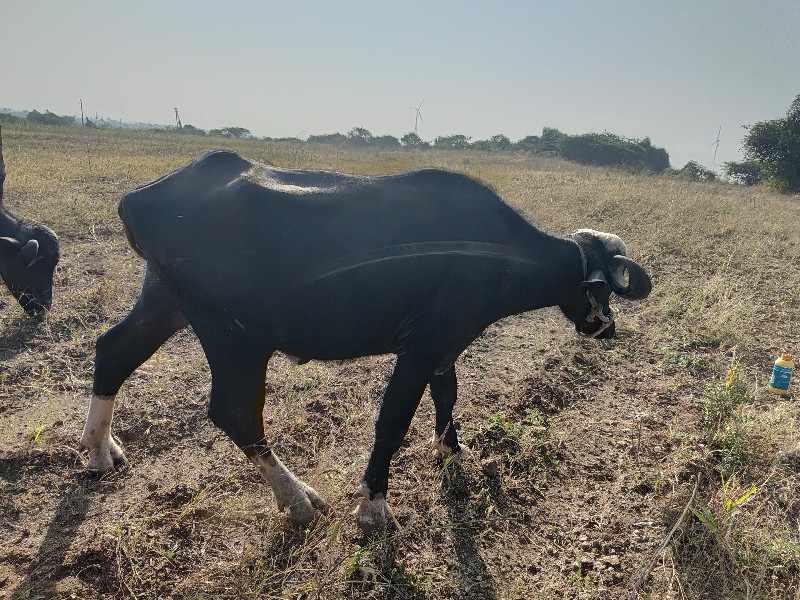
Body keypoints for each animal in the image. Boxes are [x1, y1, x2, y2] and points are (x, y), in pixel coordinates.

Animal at [81, 151, 648, 536]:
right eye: (601, 287)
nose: (606, 327)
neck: (499, 252)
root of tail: (141, 198)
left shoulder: (445, 346)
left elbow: (448, 397)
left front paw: (452, 452)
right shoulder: (420, 348)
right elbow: (392, 423)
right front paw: (373, 507)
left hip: (165, 301)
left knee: (113, 350)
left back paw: (99, 449)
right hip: (233, 336)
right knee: (233, 411)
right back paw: (298, 499)